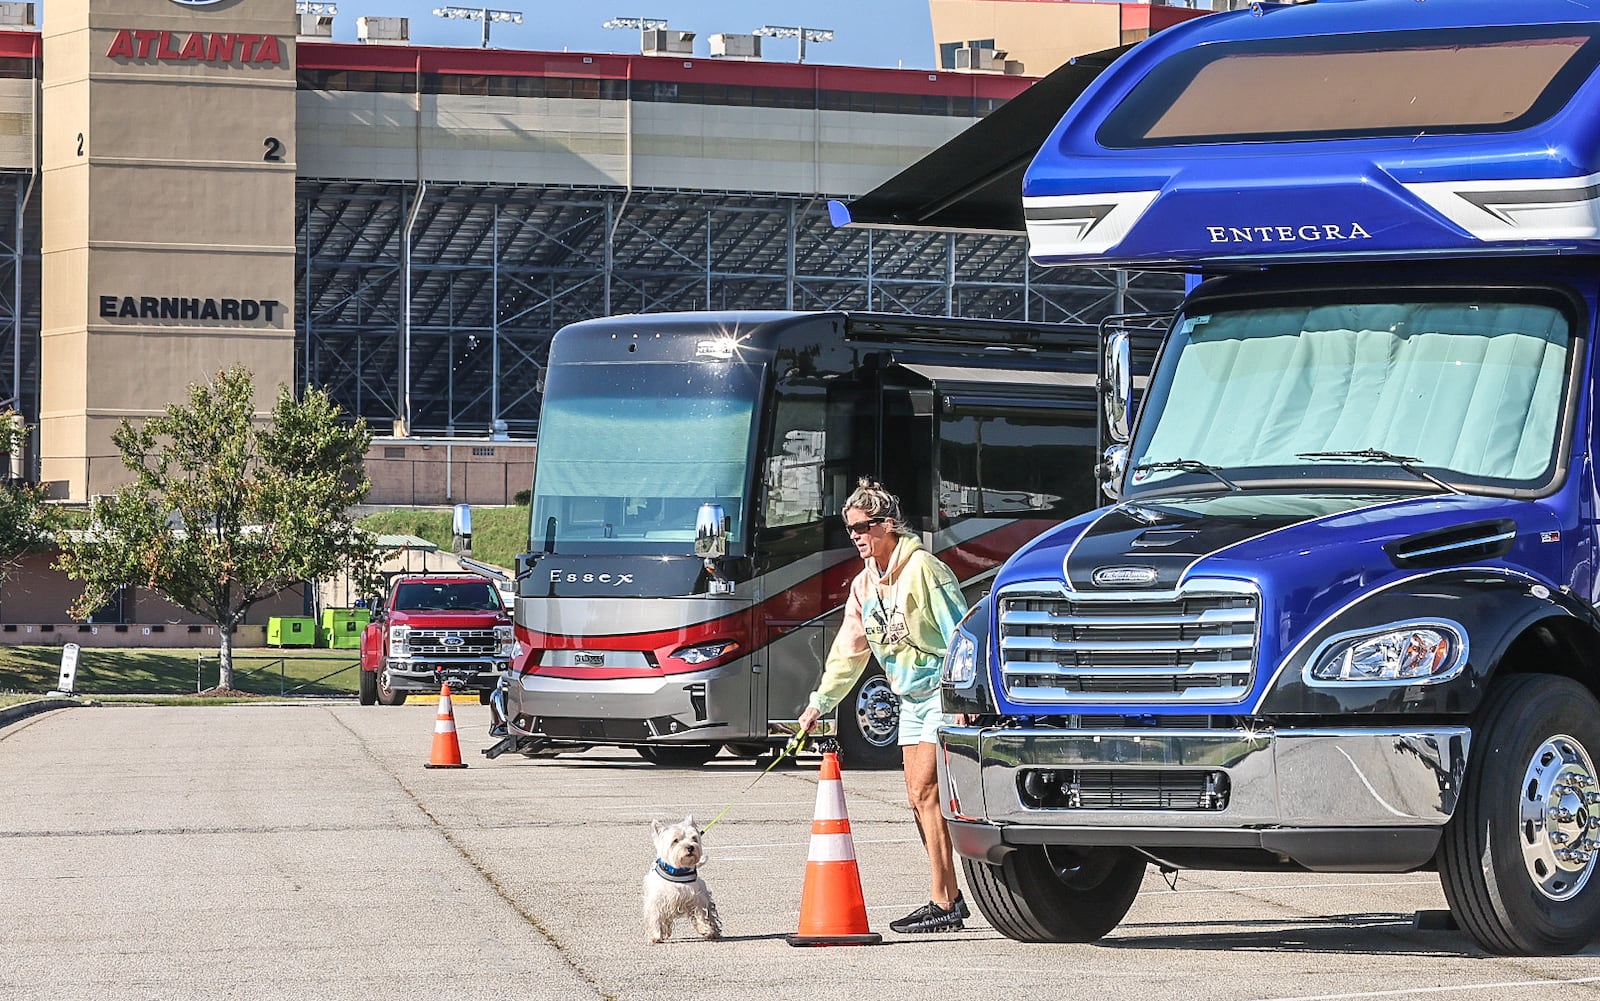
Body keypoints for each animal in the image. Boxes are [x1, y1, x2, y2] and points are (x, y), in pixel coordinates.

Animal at [640, 812, 723, 940]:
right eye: (675, 840)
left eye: (694, 838)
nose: (690, 847)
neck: (677, 871)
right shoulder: (657, 899)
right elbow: (656, 916)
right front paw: (655, 935)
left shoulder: (697, 897)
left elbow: (700, 913)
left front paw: (705, 929)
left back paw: (714, 932)